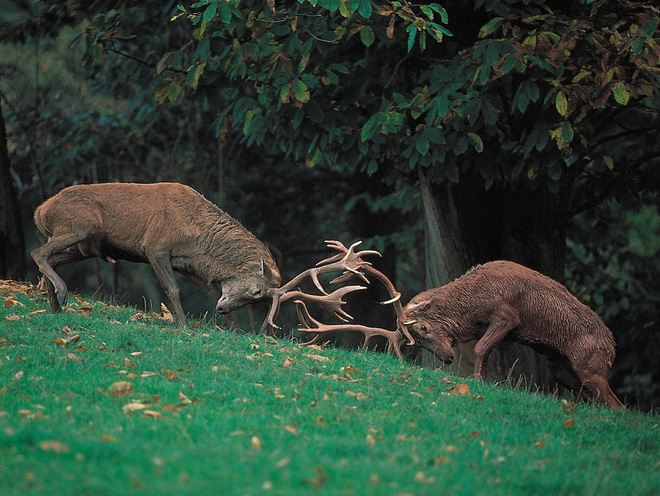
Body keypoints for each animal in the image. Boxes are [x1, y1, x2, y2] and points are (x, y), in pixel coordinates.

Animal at [33, 184, 282, 328]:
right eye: (256, 291)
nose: (223, 309)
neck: (195, 237)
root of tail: (41, 211)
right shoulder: (156, 247)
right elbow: (173, 290)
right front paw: (184, 326)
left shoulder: (185, 264)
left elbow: (212, 292)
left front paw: (236, 330)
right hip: (80, 225)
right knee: (38, 252)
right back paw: (62, 293)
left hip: (86, 247)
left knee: (51, 259)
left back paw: (55, 306)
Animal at [262, 243, 624, 410]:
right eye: (417, 342)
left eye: (422, 329)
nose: (447, 358)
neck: (474, 302)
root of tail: (613, 345)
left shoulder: (507, 315)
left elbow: (480, 348)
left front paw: (478, 381)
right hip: (563, 368)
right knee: (594, 396)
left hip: (589, 362)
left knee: (616, 403)